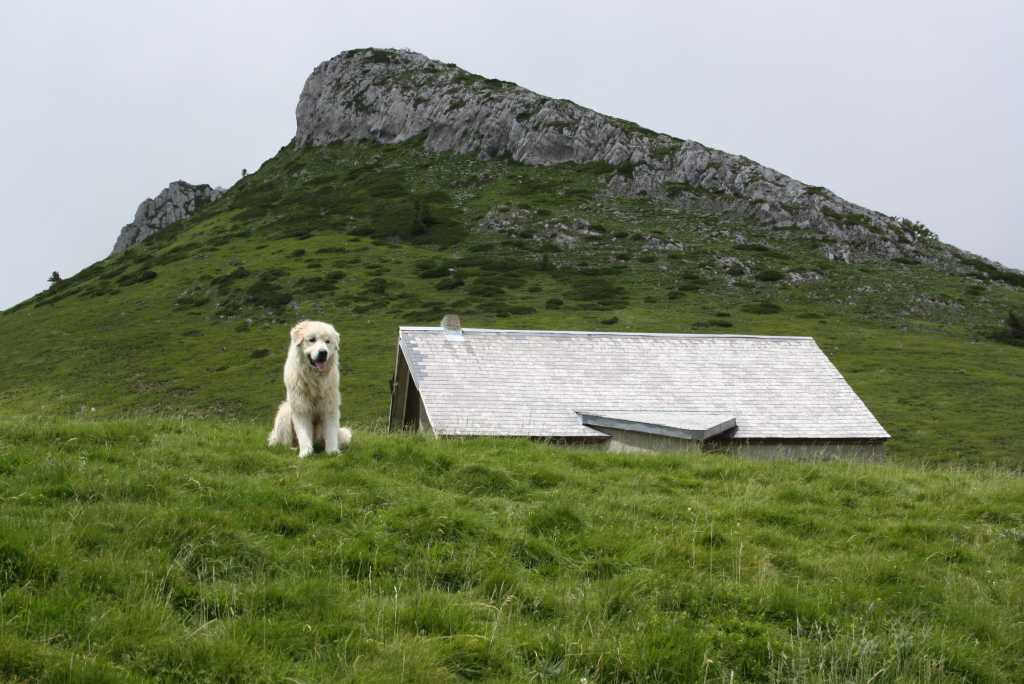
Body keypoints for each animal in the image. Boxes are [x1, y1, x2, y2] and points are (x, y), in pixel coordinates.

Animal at [268, 321, 352, 458]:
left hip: (343, 434)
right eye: (312, 340)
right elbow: (303, 434)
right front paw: (305, 453)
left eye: (327, 341)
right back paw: (292, 448)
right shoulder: (301, 408)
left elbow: (331, 433)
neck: (314, 379)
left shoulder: (329, 408)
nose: (323, 352)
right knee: (283, 443)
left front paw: (332, 452)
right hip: (285, 412)